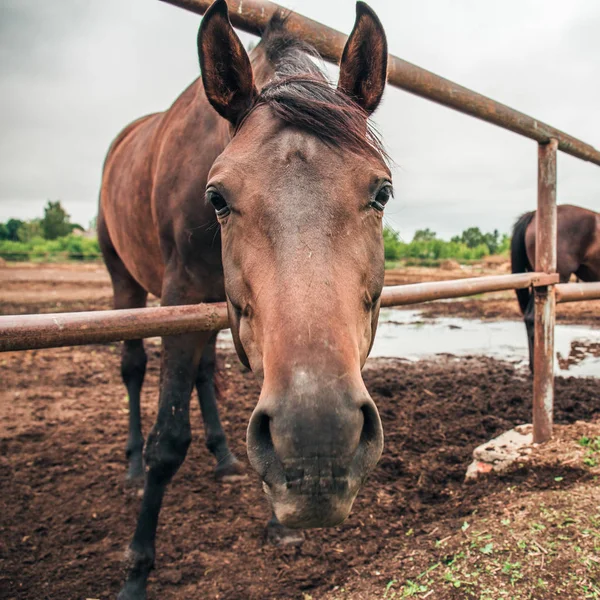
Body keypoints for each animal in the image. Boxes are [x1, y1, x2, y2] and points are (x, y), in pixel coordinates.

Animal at [98, 2, 390, 596]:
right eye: (217, 197)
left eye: (382, 192)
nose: (320, 447)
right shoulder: (180, 295)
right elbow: (169, 437)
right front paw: (136, 568)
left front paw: (278, 521)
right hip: (127, 284)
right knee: (134, 366)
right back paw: (134, 467)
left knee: (205, 372)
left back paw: (226, 457)